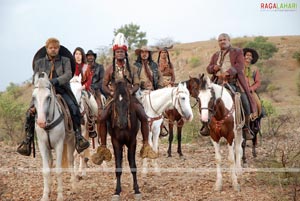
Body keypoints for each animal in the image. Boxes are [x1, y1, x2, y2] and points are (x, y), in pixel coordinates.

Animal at [31, 72, 75, 201]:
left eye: (48, 97)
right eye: (34, 97)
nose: (41, 122)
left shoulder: (59, 145)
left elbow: (59, 169)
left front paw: (60, 196)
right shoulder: (42, 146)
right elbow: (46, 170)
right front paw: (45, 195)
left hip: (71, 141)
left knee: (71, 160)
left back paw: (74, 185)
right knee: (51, 162)